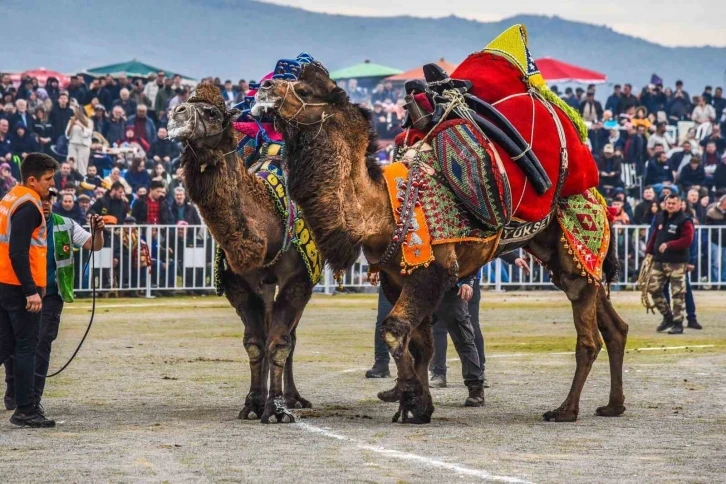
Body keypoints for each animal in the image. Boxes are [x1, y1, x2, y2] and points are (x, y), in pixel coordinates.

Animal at [169, 85, 318, 426]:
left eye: (212, 112)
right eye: (185, 102)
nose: (175, 114)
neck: (269, 223)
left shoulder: (299, 279)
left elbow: (279, 343)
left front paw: (276, 409)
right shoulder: (237, 282)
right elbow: (254, 343)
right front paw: (253, 403)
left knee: (290, 336)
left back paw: (294, 398)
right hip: (264, 284)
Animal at [258, 63, 632, 424]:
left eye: (304, 90)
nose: (264, 88)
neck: (382, 208)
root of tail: (599, 197)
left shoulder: (432, 270)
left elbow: (394, 330)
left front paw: (411, 397)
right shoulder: (397, 277)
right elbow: (419, 344)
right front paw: (415, 407)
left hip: (578, 243)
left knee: (588, 339)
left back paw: (565, 410)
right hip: (565, 256)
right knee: (614, 326)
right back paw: (613, 405)